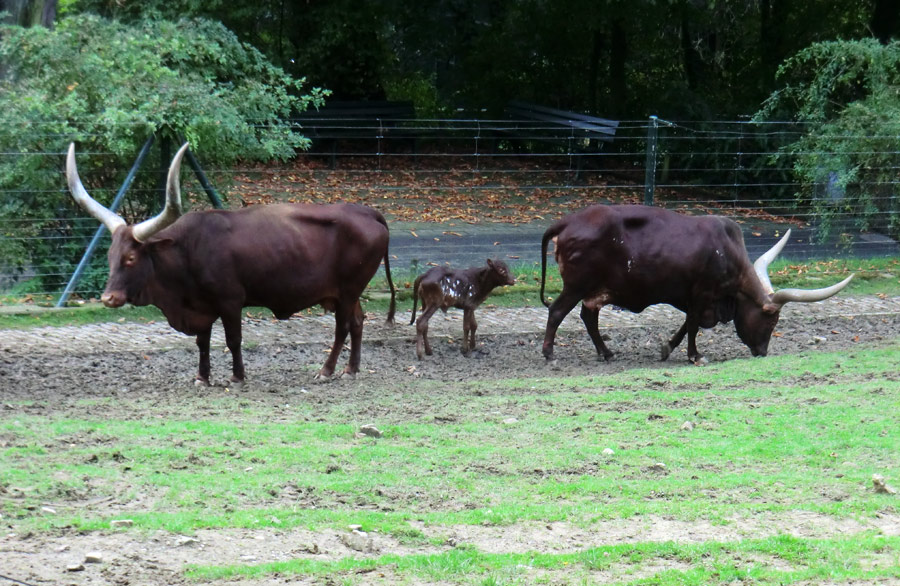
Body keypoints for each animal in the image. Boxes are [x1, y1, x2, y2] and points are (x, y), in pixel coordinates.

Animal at [67, 143, 398, 384]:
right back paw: (351, 369)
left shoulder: (230, 301)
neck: (187, 250)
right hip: (346, 294)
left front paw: (238, 376)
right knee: (357, 322)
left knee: (342, 327)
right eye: (110, 256)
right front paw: (202, 377)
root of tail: (367, 212)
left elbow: (233, 339)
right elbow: (203, 342)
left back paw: (326, 370)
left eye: (131, 258)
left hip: (348, 290)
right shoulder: (200, 306)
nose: (109, 298)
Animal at [536, 204, 856, 360]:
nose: (762, 352)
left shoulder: (694, 297)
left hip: (593, 290)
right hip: (576, 286)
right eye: (771, 320)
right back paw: (549, 353)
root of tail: (568, 222)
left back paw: (605, 352)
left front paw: (667, 348)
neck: (727, 251)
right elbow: (692, 326)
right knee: (557, 311)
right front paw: (694, 356)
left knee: (588, 316)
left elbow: (686, 324)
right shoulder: (703, 293)